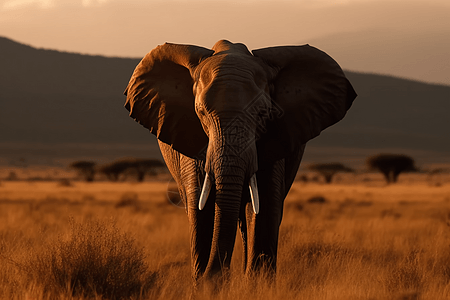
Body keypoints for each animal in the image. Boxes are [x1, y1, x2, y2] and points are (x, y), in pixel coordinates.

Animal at [125, 39, 356, 282]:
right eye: (201, 112)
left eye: (263, 114)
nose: (217, 275)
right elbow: (201, 210)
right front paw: (207, 284)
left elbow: (264, 208)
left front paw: (257, 285)